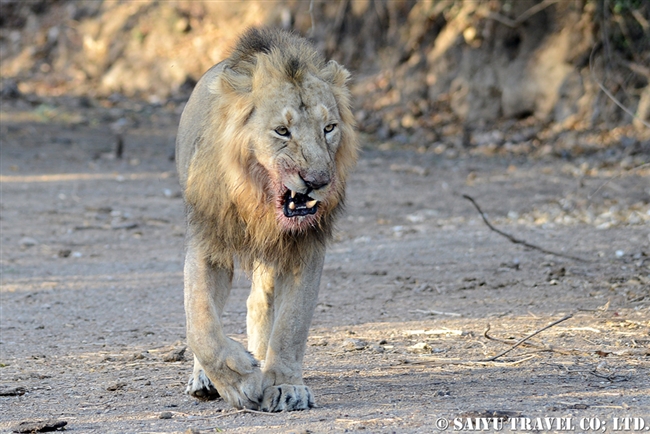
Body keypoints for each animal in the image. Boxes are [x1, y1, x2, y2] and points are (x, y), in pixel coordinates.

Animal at [175, 28, 356, 412]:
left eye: (329, 128)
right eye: (282, 131)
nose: (318, 181)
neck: (256, 201)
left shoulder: (305, 247)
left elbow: (291, 325)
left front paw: (285, 385)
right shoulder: (208, 241)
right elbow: (200, 322)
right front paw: (238, 380)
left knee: (259, 303)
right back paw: (206, 379)